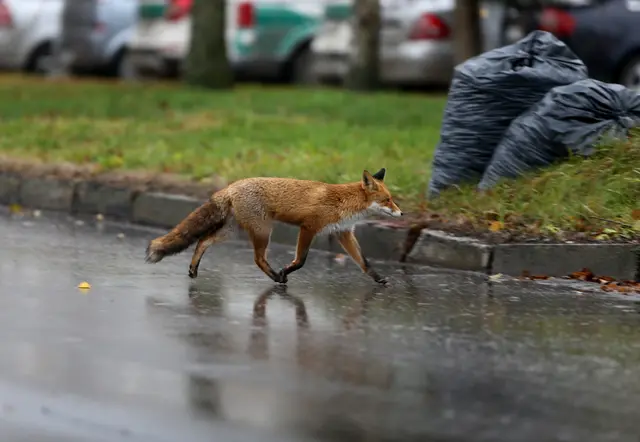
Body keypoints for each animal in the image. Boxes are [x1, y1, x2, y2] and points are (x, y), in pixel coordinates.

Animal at [144, 167, 403, 285]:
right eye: (387, 200)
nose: (402, 213)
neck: (344, 202)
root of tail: (231, 186)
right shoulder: (309, 227)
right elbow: (300, 260)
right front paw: (285, 271)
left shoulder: (343, 233)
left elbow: (364, 262)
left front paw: (379, 278)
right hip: (263, 231)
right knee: (258, 259)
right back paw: (277, 277)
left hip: (232, 232)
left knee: (202, 241)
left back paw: (193, 269)